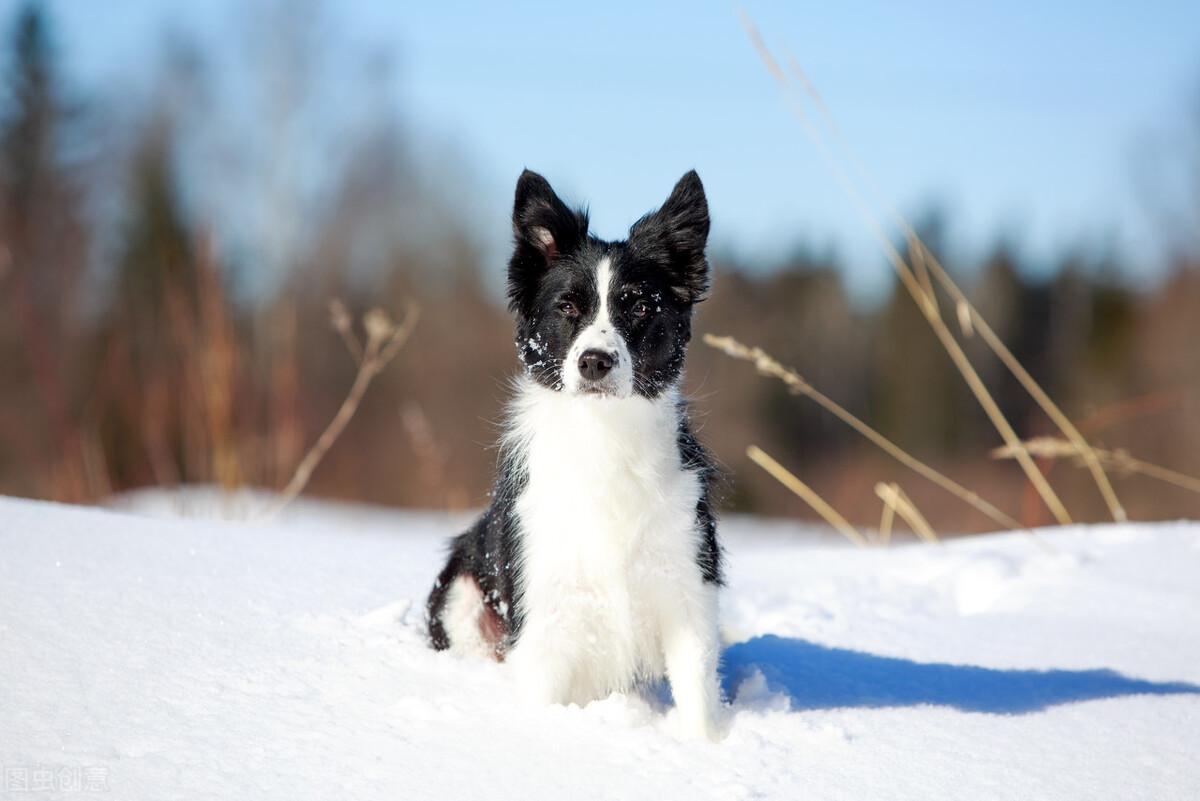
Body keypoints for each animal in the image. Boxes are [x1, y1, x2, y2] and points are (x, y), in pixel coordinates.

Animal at [427, 167, 720, 738]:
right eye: (567, 307)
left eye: (640, 306)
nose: (595, 362)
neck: (605, 436)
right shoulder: (546, 607)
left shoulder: (687, 589)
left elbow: (698, 696)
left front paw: (709, 748)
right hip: (459, 596)